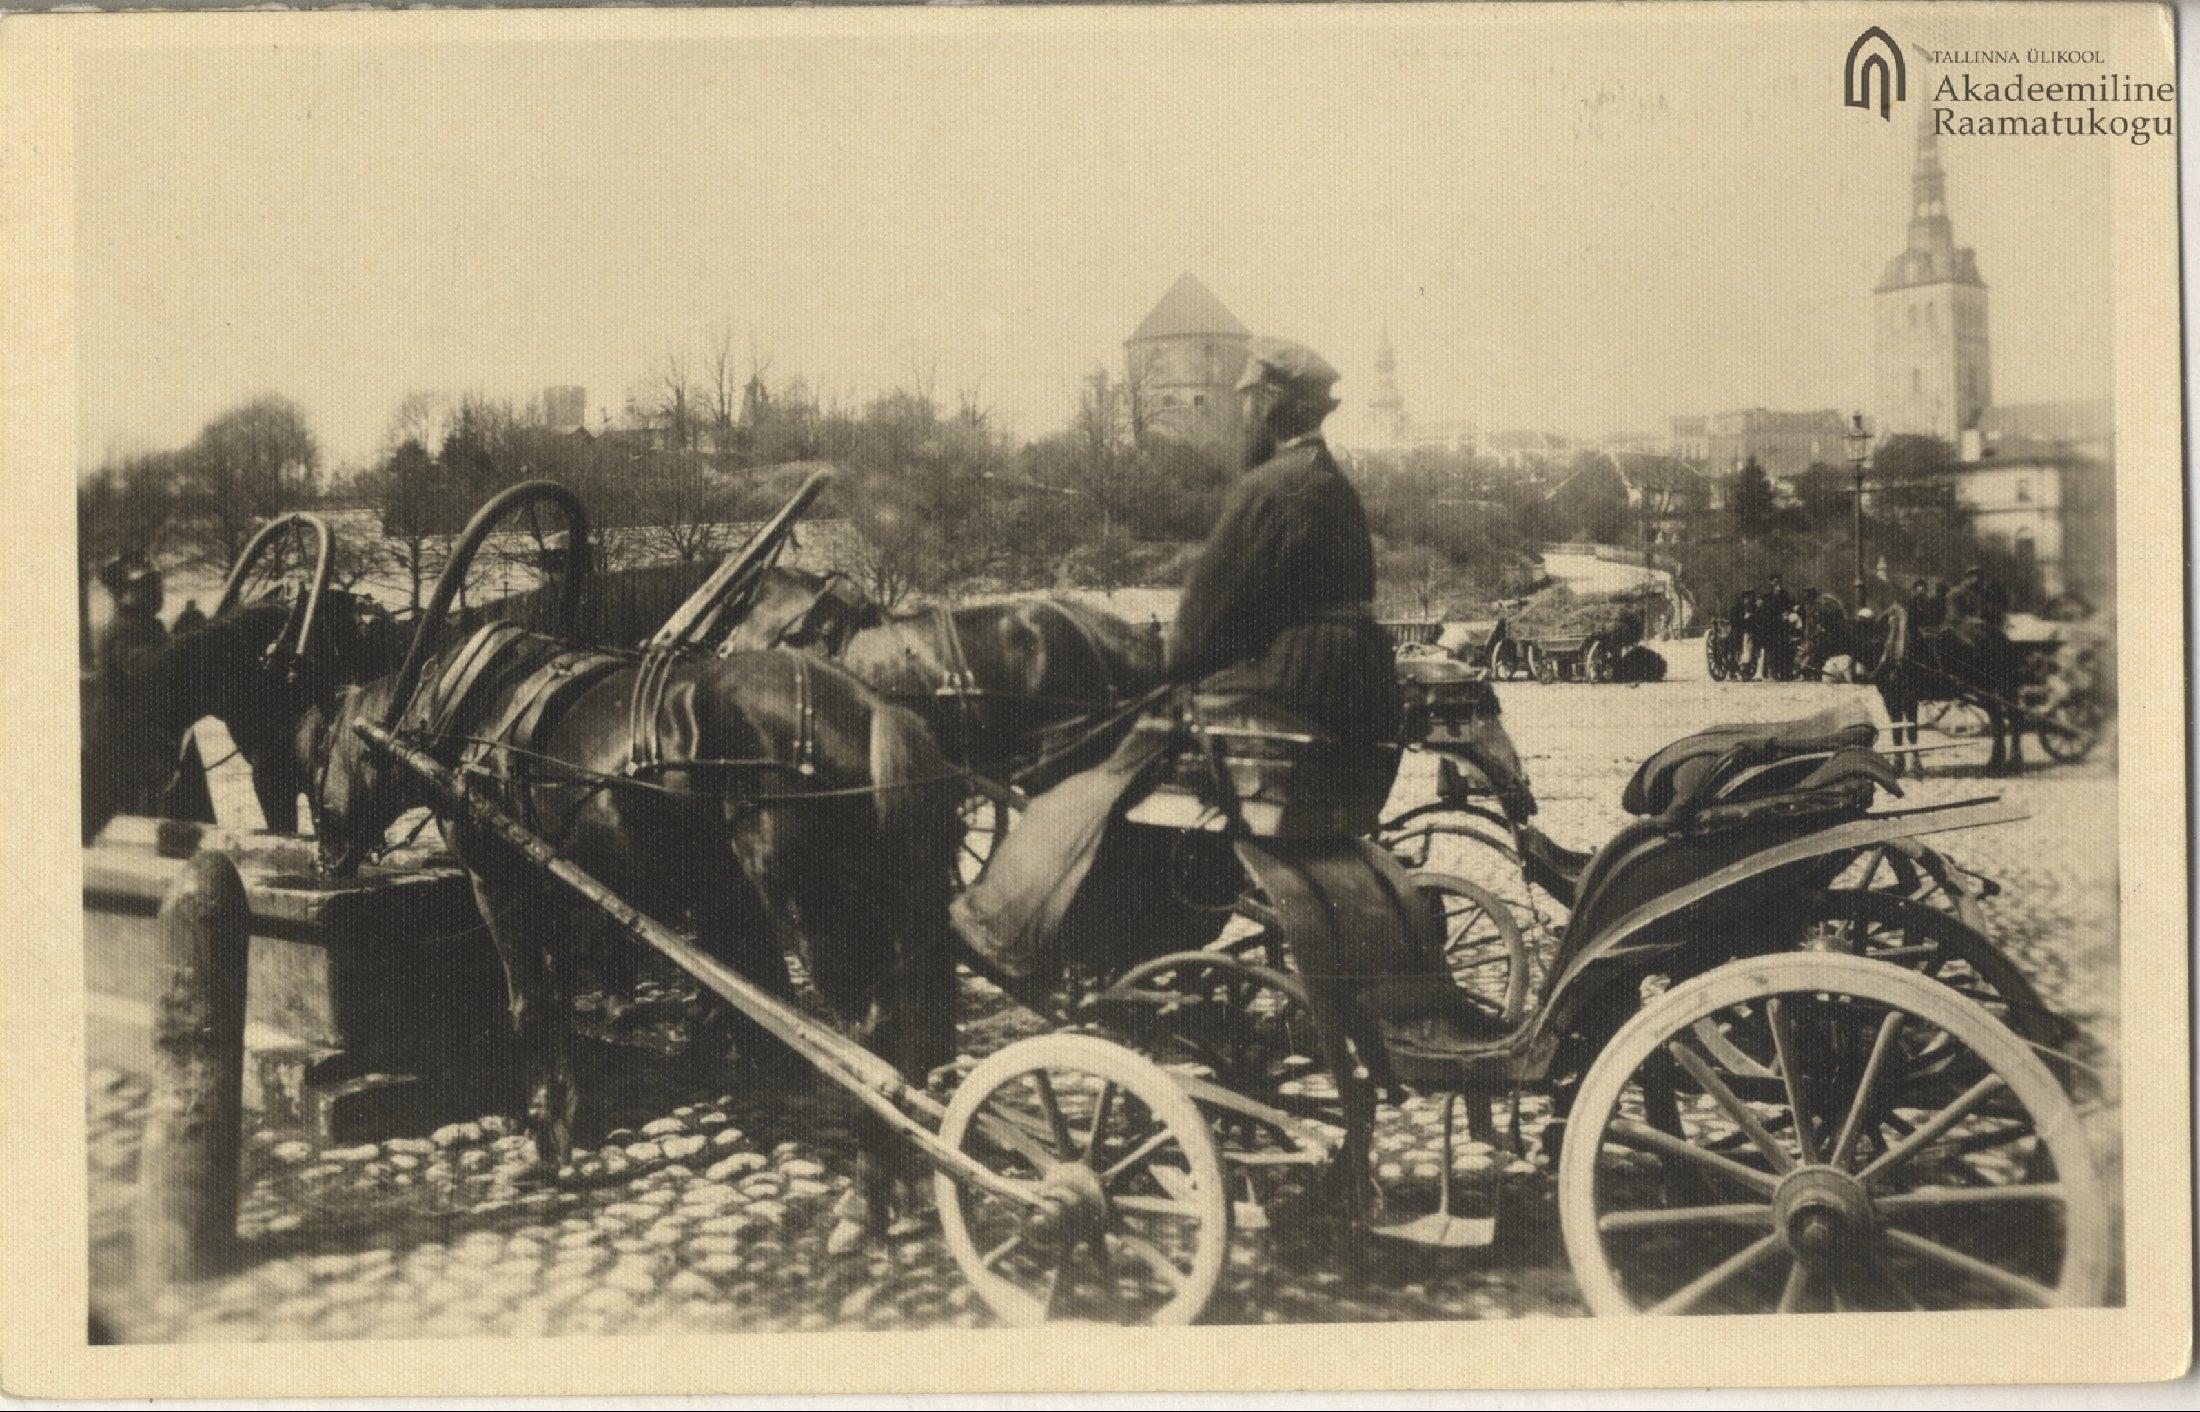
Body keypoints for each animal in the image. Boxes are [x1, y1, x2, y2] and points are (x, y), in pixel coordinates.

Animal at [310, 637, 963, 1240]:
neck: (468, 712)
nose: (326, 857)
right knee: (916, 1027)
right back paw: (904, 1178)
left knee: (874, 1036)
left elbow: (530, 1007)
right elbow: (560, 1006)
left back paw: (865, 1203)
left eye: (316, 761)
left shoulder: (499, 883)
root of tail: (874, 707)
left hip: (810, 909)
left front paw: (543, 1147)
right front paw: (563, 1125)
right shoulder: (563, 893)